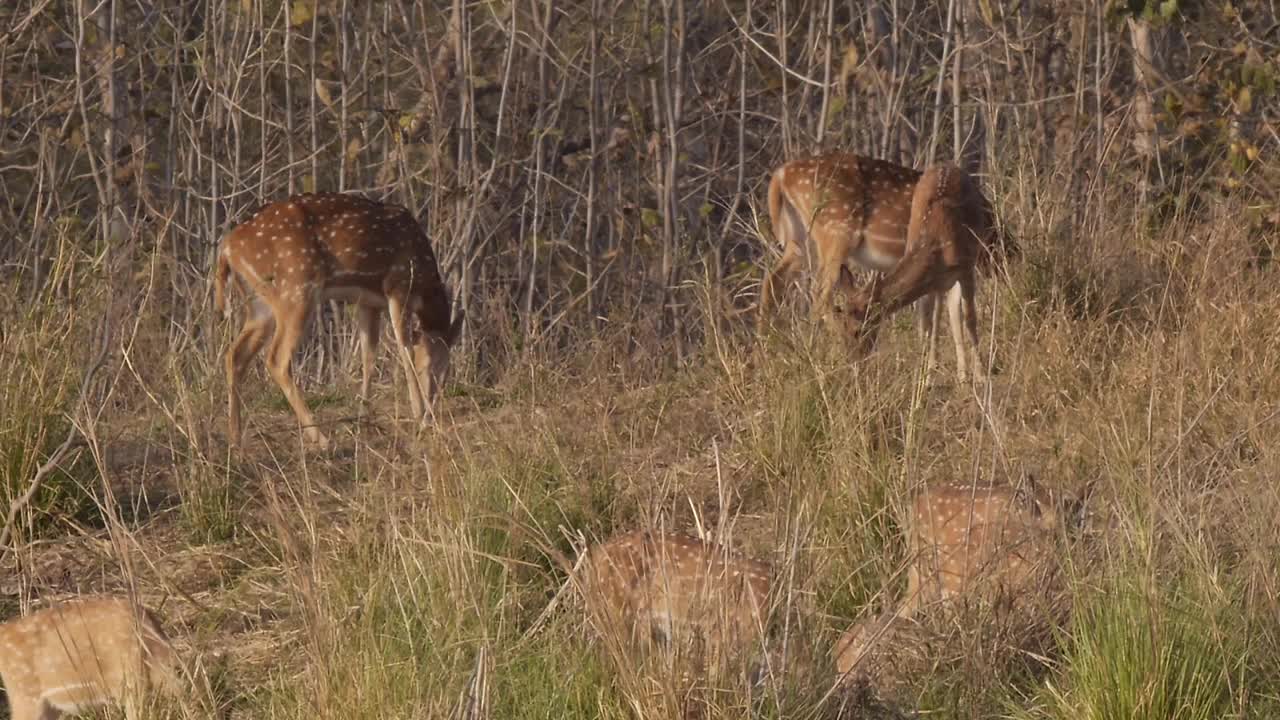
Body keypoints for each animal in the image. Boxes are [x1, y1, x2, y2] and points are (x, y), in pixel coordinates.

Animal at [213, 193, 465, 445]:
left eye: (447, 370)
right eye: (432, 366)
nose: (432, 411)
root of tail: (227, 248)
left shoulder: (368, 303)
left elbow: (368, 356)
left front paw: (363, 418)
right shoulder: (398, 286)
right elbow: (406, 352)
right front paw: (418, 414)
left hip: (259, 304)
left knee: (234, 355)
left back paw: (235, 438)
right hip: (296, 287)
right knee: (277, 359)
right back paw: (321, 438)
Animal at [829, 162, 1008, 381]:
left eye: (857, 330)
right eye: (840, 330)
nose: (854, 365)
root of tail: (947, 165)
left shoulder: (966, 268)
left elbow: (970, 319)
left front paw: (981, 375)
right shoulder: (932, 281)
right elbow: (926, 323)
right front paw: (927, 376)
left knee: (955, 313)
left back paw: (964, 373)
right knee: (945, 311)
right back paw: (955, 372)